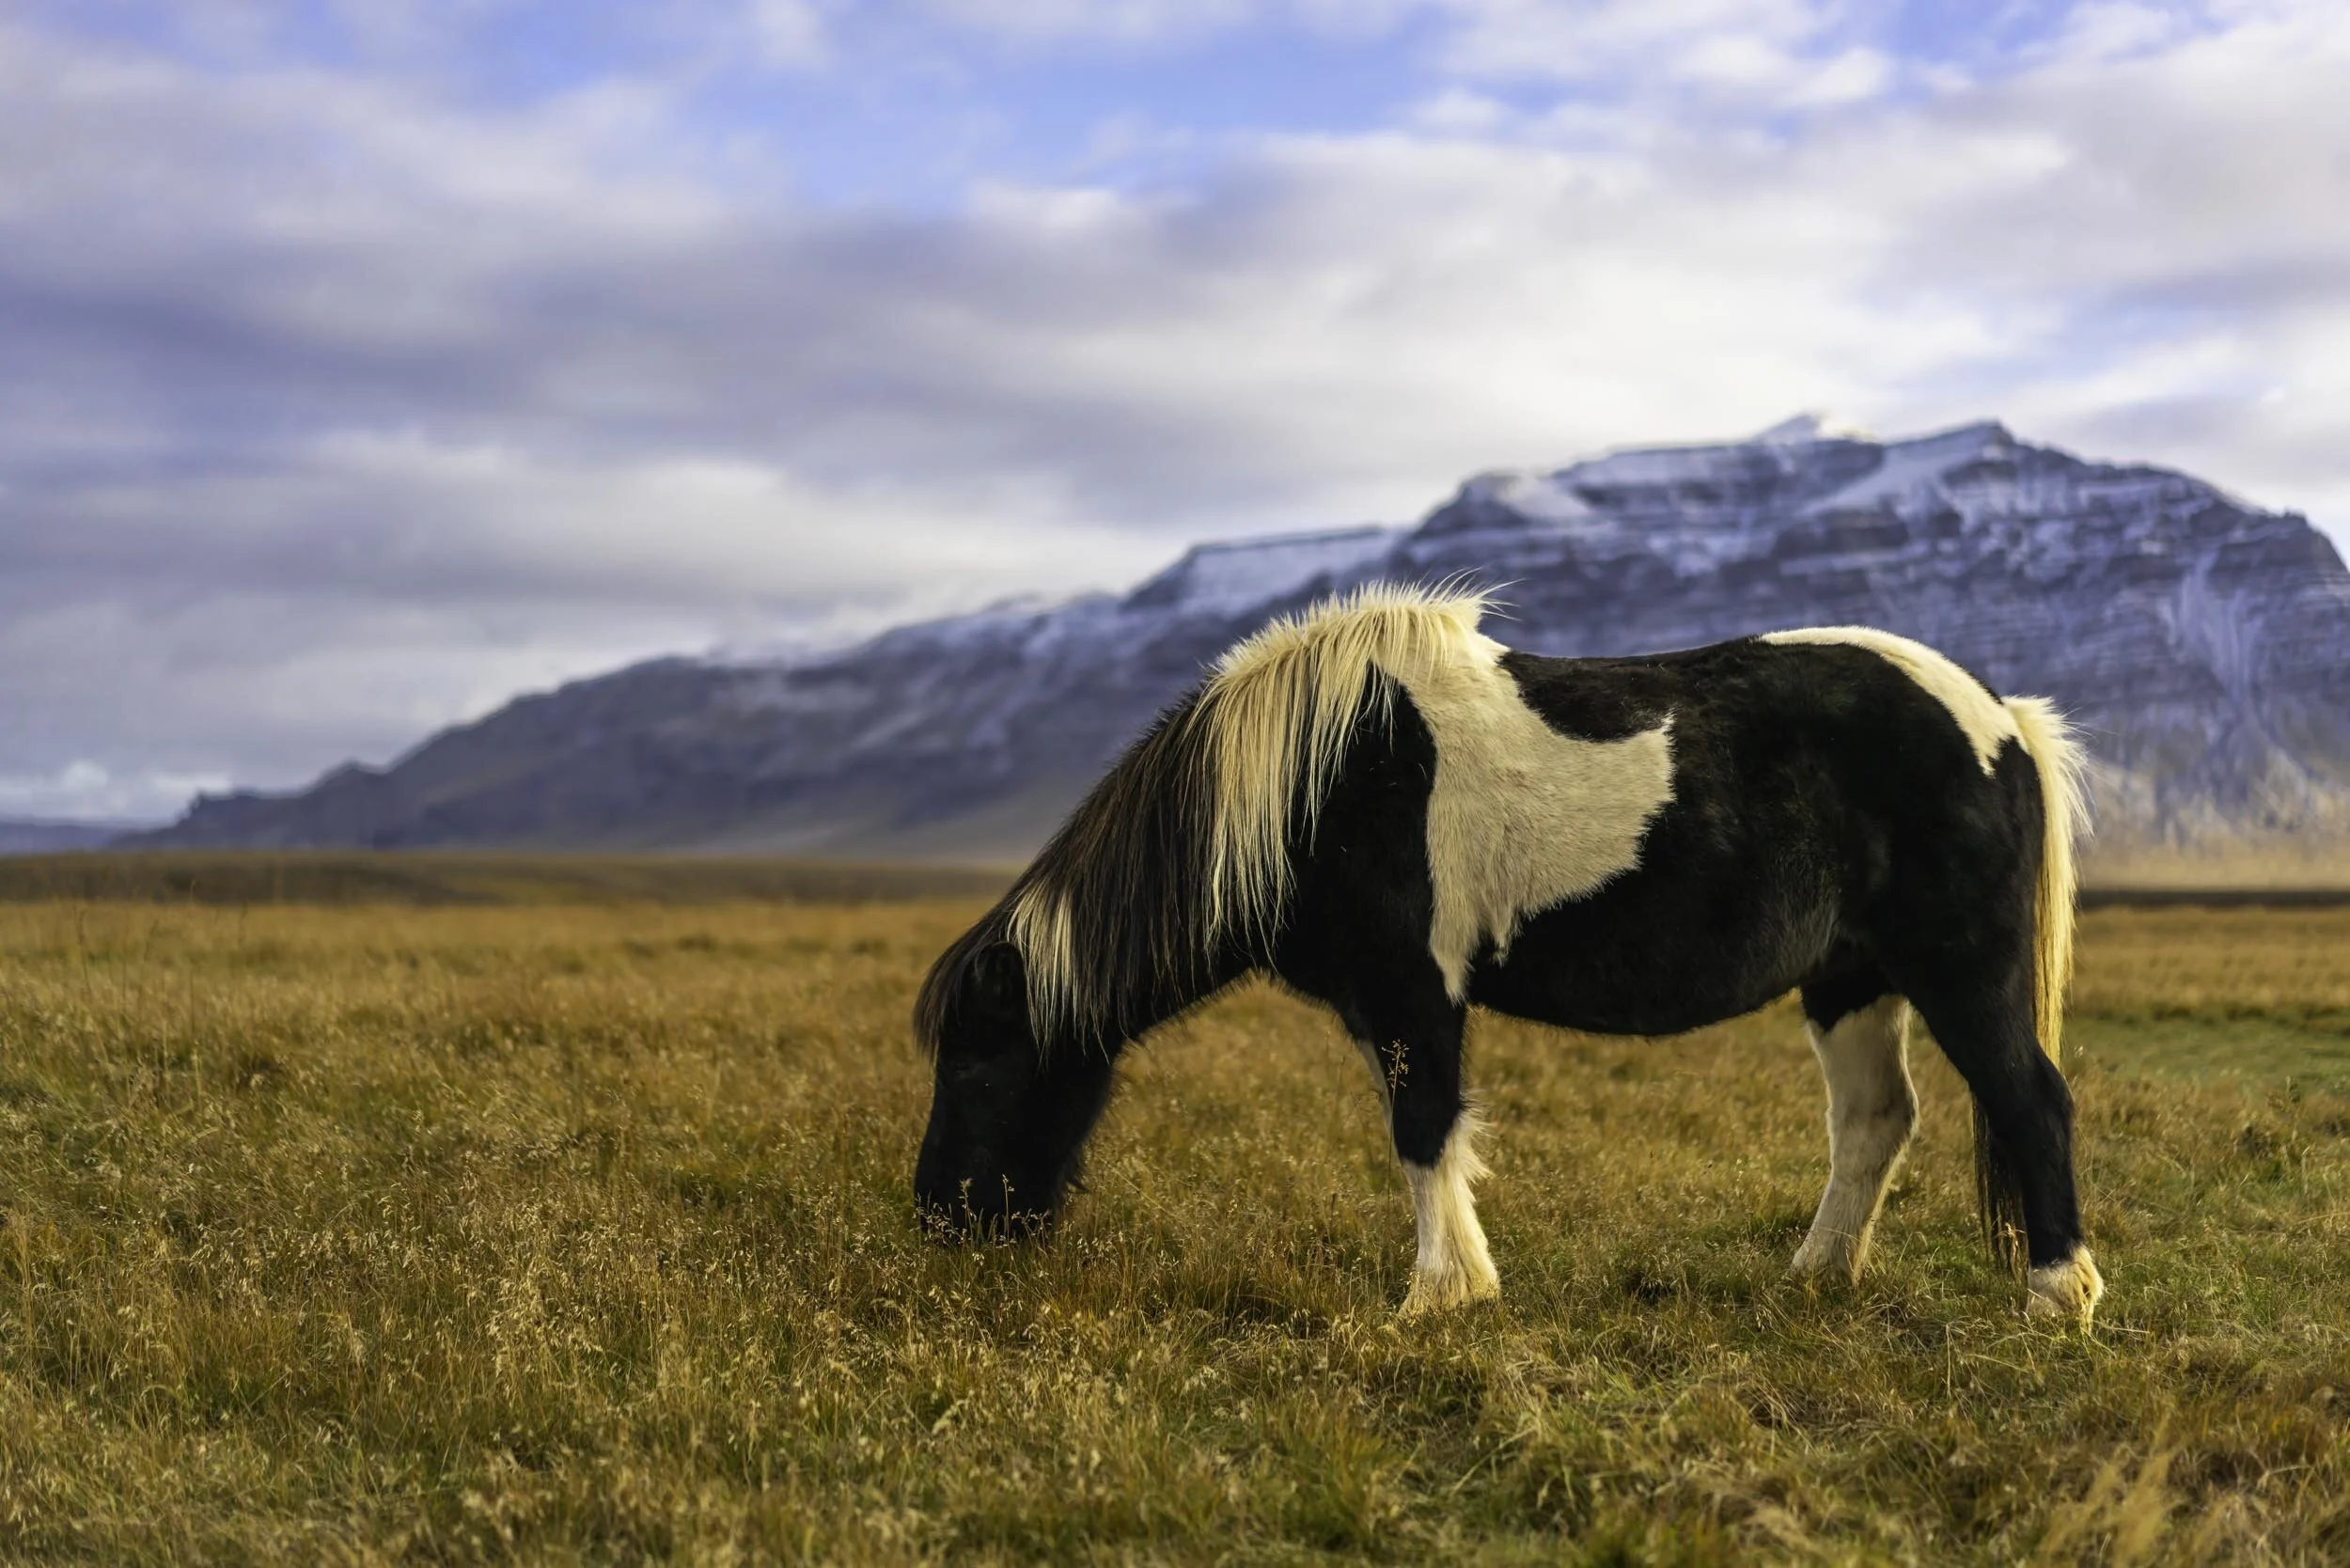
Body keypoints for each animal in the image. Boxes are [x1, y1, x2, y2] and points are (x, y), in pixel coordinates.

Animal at [912, 583, 2103, 1324]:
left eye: (977, 1059)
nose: (939, 1220)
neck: (1312, 782)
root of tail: (2000, 717)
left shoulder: (1411, 991)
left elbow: (1423, 1129)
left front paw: (1438, 1297)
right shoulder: (1386, 1001)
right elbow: (1425, 1134)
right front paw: (1460, 1284)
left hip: (1955, 967)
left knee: (2029, 1101)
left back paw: (2057, 1297)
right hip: (1848, 978)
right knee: (1873, 1120)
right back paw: (1815, 1276)